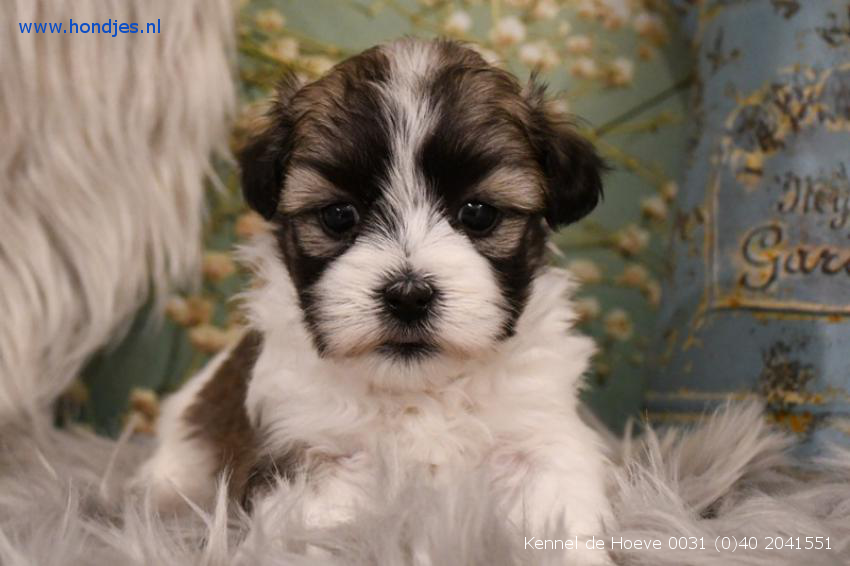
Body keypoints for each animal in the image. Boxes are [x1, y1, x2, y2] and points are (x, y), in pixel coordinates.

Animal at [139, 38, 612, 564]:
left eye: (478, 214)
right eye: (339, 216)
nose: (408, 296)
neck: (417, 391)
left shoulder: (540, 439)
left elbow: (558, 517)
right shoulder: (309, 455)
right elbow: (317, 533)